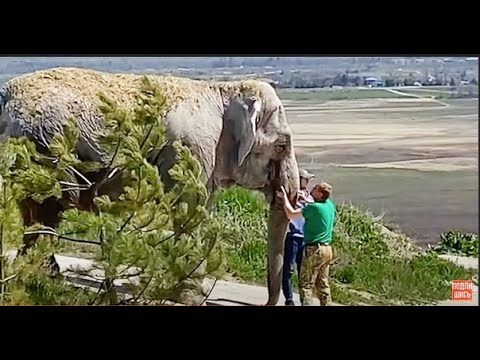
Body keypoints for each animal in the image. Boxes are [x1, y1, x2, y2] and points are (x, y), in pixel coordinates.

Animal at [0, 66, 300, 306]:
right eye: (282, 145)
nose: (267, 303)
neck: (224, 92)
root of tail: (7, 94)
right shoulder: (191, 149)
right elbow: (190, 206)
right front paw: (192, 298)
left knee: (34, 211)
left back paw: (38, 275)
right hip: (46, 146)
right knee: (50, 207)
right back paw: (42, 277)